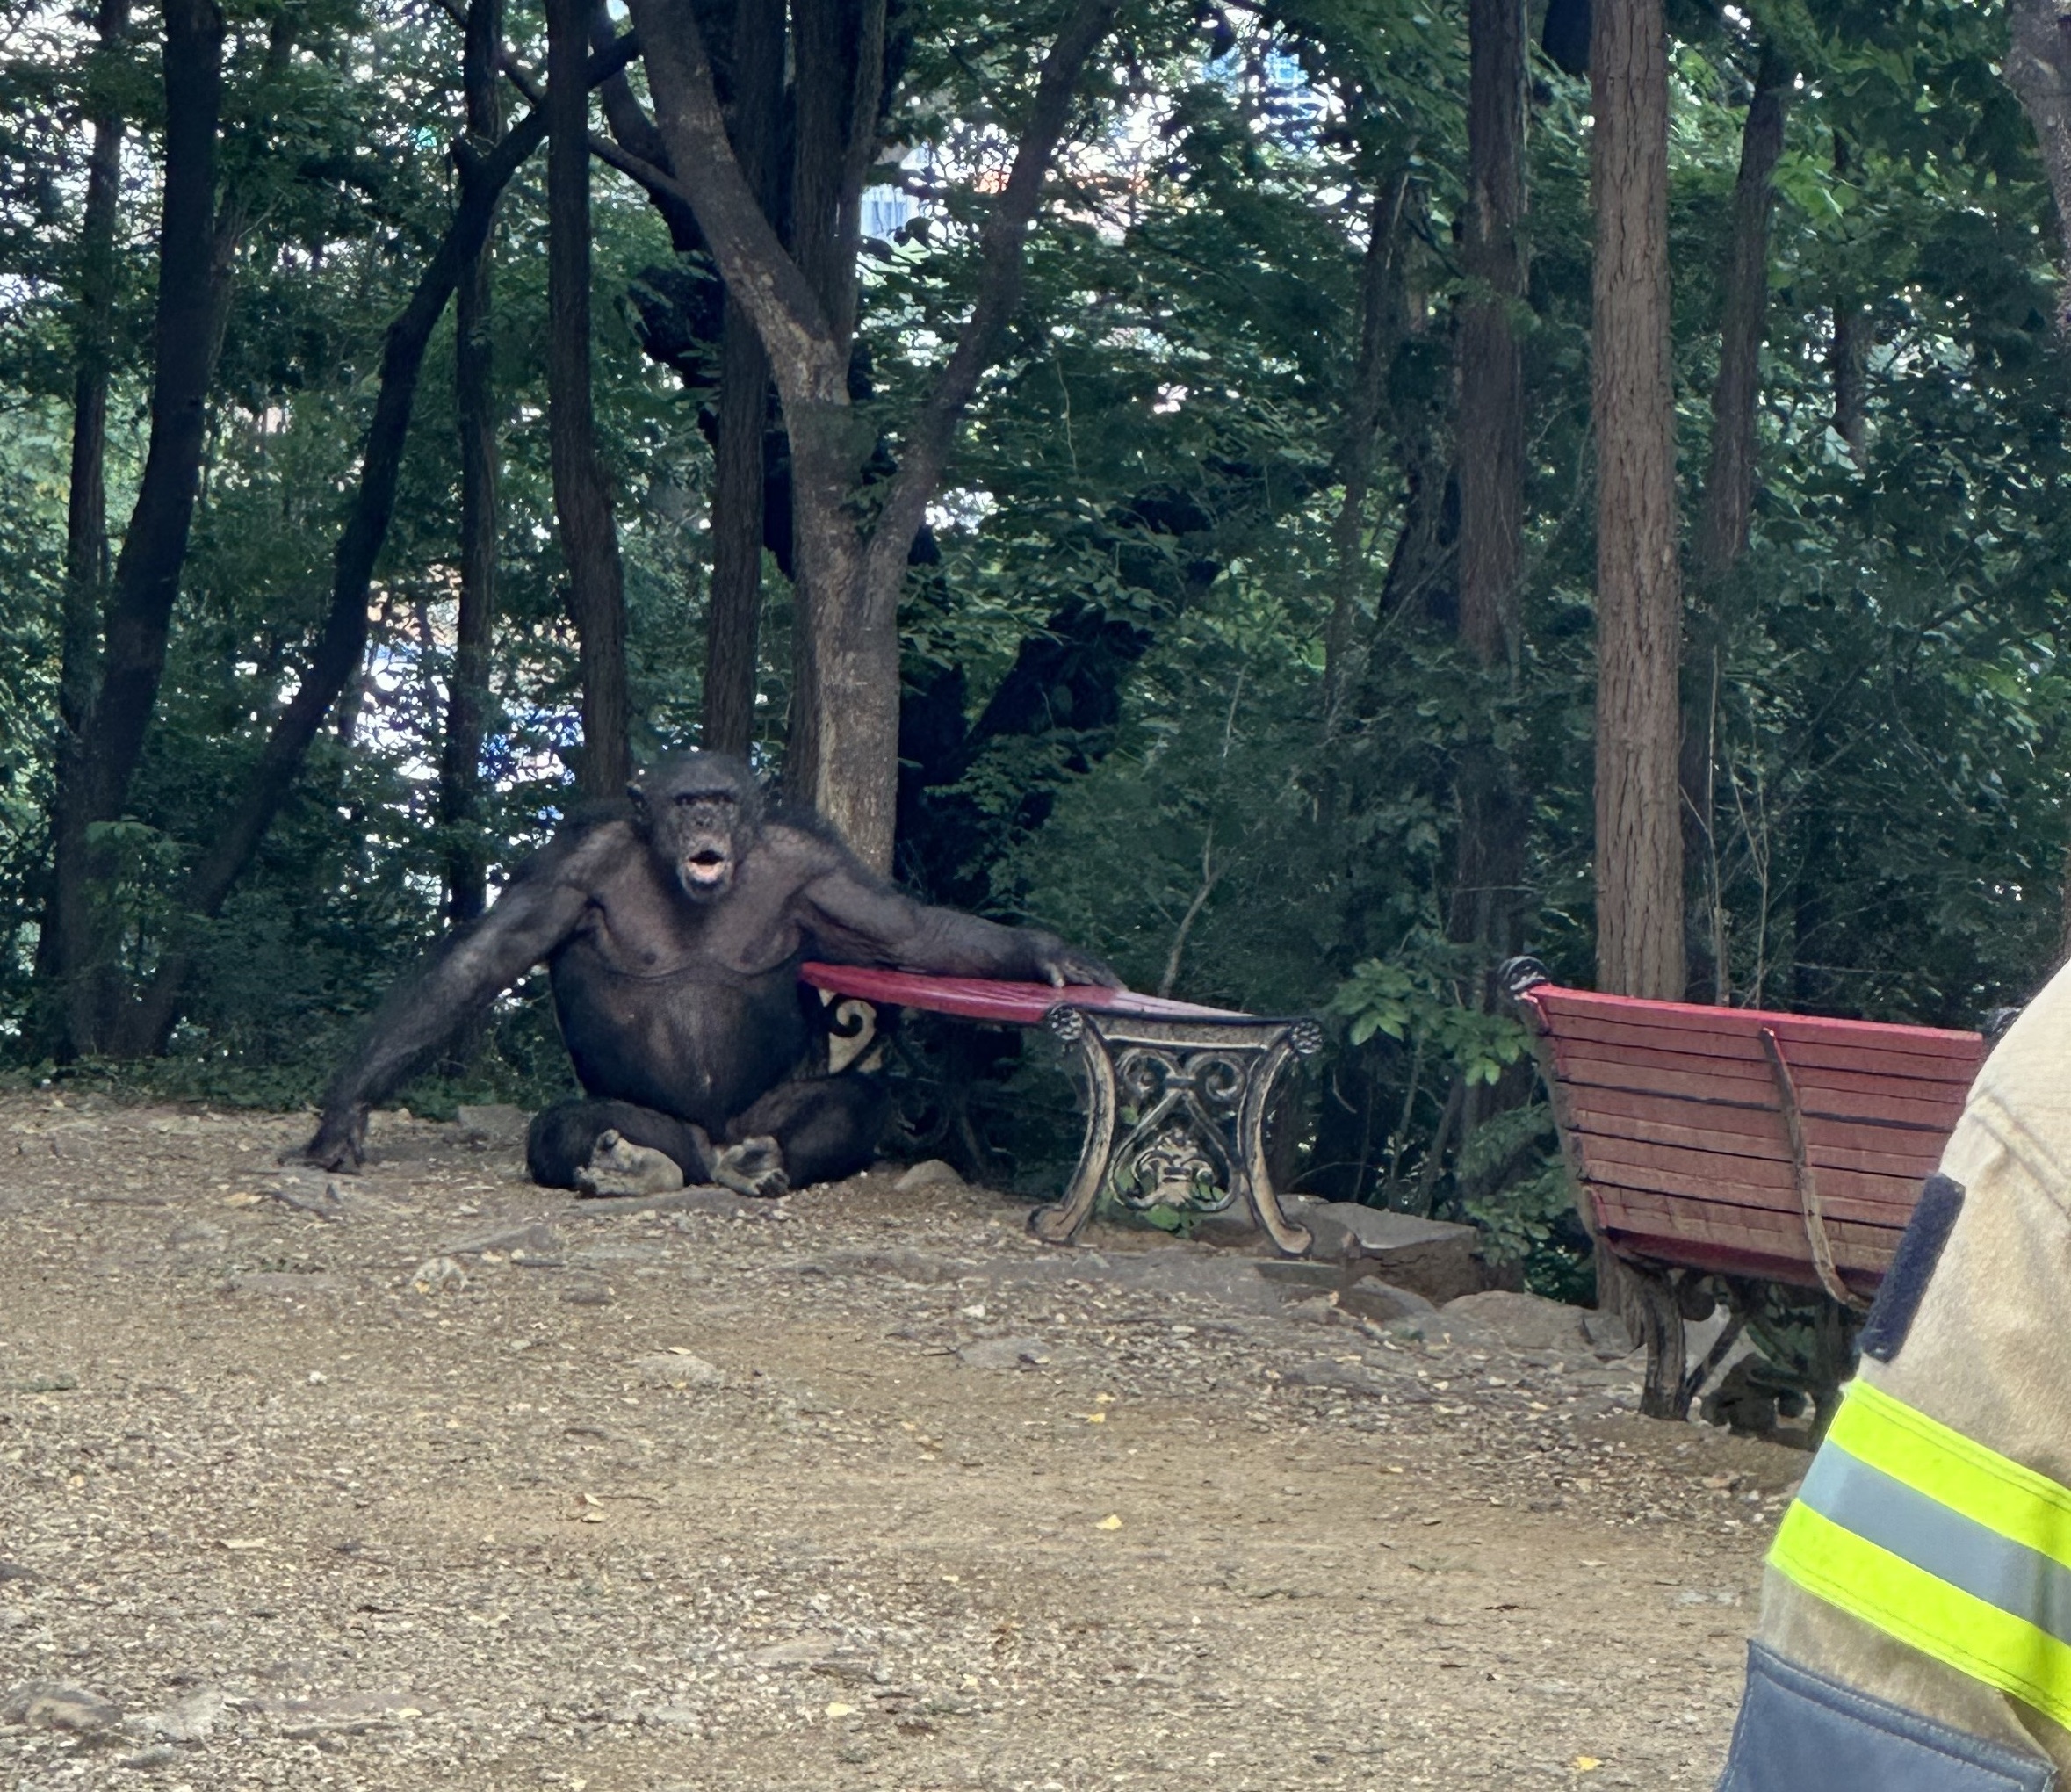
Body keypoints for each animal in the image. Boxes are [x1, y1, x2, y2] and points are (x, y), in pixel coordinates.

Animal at [296, 749, 1118, 1193]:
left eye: (722, 800)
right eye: (686, 800)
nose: (704, 823)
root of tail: (710, 1149)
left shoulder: (823, 873)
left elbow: (913, 933)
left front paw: (1048, 952)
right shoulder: (568, 868)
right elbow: (482, 959)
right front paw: (344, 1116)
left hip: (757, 1114)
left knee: (859, 1102)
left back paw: (762, 1160)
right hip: (662, 1127)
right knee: (566, 1126)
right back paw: (633, 1166)